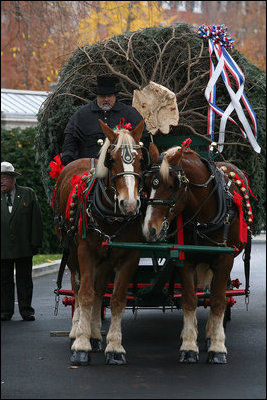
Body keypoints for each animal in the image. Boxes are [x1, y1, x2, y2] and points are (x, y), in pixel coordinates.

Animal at [54, 119, 147, 366]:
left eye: (140, 160)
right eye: (111, 160)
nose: (130, 204)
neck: (112, 218)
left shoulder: (129, 256)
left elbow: (116, 299)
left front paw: (114, 347)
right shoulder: (85, 252)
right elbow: (85, 294)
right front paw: (81, 345)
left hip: (105, 259)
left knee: (99, 290)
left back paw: (95, 335)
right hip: (72, 252)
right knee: (78, 287)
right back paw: (78, 330)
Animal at [142, 142, 253, 364]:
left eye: (171, 185)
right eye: (148, 184)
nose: (150, 229)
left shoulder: (224, 260)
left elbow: (218, 300)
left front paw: (217, 347)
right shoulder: (186, 260)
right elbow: (189, 300)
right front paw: (188, 346)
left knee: (214, 295)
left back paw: (212, 334)